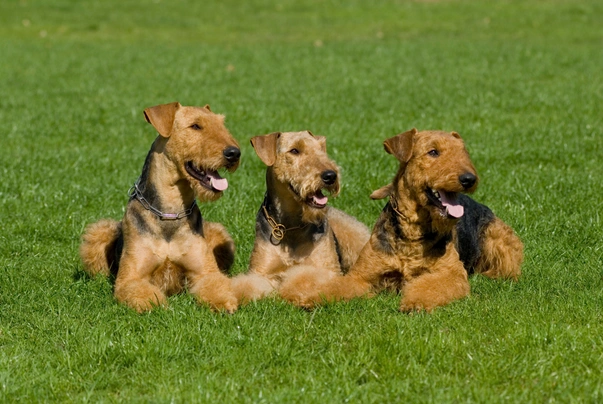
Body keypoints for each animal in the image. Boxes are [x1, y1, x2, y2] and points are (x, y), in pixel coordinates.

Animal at [80, 102, 241, 314]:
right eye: (195, 126)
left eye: (221, 124)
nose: (234, 153)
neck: (170, 212)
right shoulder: (131, 278)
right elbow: (143, 293)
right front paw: (155, 305)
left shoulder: (205, 272)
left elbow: (216, 285)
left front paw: (224, 302)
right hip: (99, 233)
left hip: (218, 234)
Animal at [232, 131, 370, 302]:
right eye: (294, 150)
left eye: (321, 148)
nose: (331, 175)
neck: (291, 226)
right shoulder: (261, 272)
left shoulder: (328, 270)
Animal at [282, 129, 524, 312]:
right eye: (433, 152)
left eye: (462, 152)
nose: (469, 179)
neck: (412, 233)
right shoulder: (361, 276)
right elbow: (335, 287)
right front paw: (307, 298)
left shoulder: (451, 274)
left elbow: (431, 287)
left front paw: (414, 302)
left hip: (500, 242)